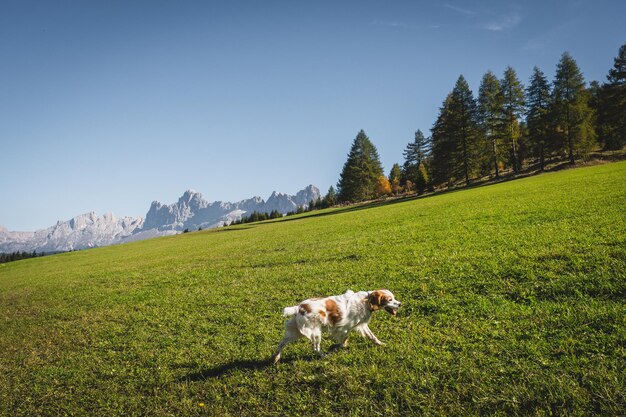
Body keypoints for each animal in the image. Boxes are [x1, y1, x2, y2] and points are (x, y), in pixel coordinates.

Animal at [272, 288, 400, 362]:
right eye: (389, 299)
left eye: (393, 298)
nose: (400, 304)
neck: (366, 300)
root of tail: (299, 308)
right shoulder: (343, 328)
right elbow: (343, 342)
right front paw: (333, 347)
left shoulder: (361, 325)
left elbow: (372, 336)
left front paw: (381, 344)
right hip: (316, 333)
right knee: (316, 348)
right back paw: (324, 356)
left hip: (296, 332)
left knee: (281, 343)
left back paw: (276, 357)